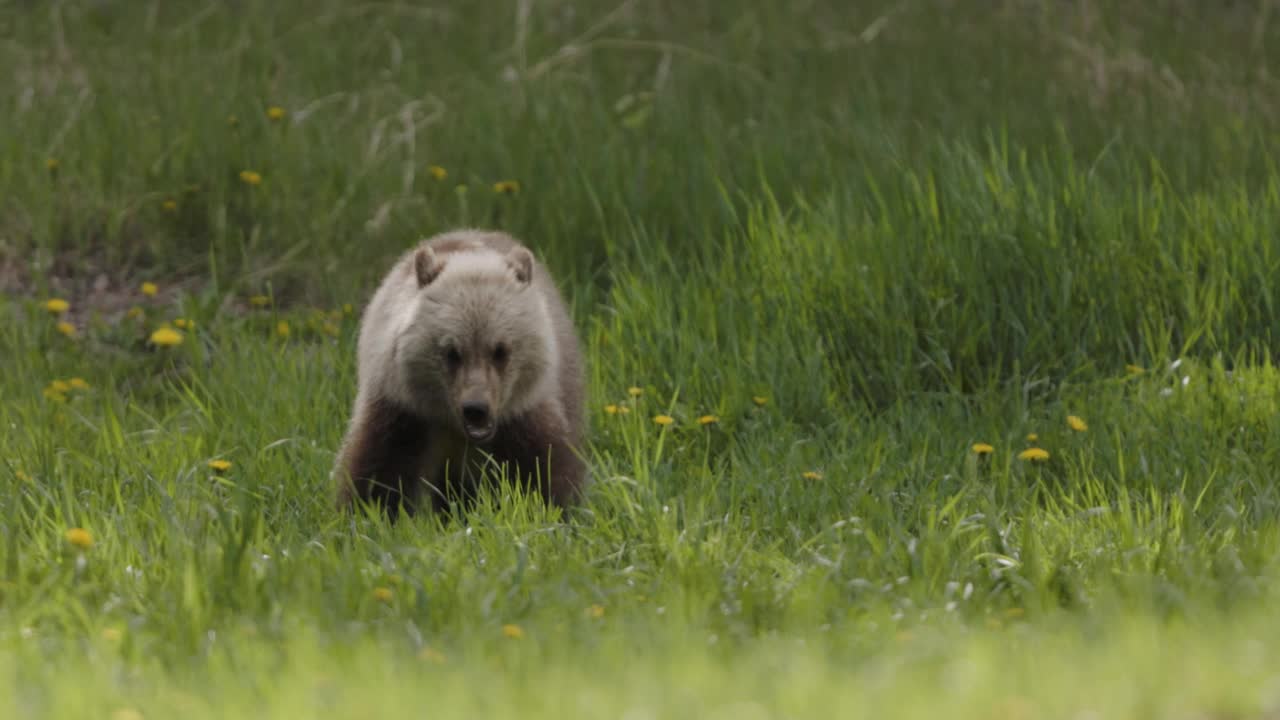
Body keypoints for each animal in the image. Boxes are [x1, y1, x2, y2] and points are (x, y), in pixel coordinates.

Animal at [332, 228, 586, 515]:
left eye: (500, 350)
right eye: (451, 352)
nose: (476, 408)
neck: (456, 428)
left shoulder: (523, 416)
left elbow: (544, 472)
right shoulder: (403, 413)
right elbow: (377, 474)